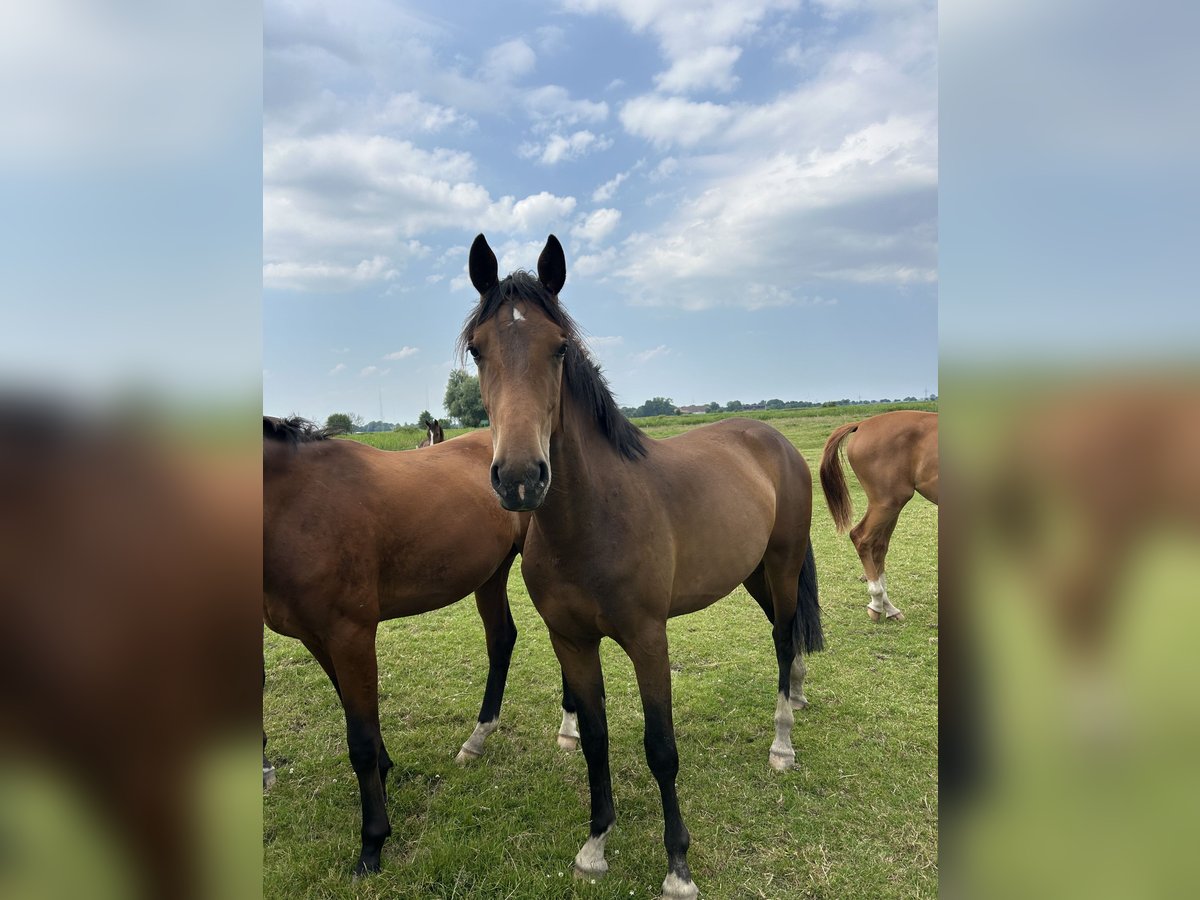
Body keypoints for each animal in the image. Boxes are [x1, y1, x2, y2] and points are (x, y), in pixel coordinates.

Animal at [261, 420, 576, 878]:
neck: (296, 505)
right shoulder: (317, 639)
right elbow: (363, 722)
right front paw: (384, 778)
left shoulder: (350, 635)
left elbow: (360, 740)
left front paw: (372, 843)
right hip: (491, 573)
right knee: (502, 640)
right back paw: (477, 739)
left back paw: (569, 729)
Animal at [460, 234, 825, 900]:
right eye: (478, 349)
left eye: (559, 347)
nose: (521, 478)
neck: (593, 520)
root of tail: (774, 438)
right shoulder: (572, 641)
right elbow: (595, 740)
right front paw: (595, 845)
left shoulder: (648, 640)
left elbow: (661, 748)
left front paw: (677, 866)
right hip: (752, 574)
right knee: (781, 637)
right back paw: (798, 695)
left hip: (783, 568)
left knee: (786, 638)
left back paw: (782, 743)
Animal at [820, 412, 940, 624]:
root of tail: (862, 424)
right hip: (887, 503)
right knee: (861, 538)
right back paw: (877, 601)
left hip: (890, 507)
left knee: (878, 547)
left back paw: (887, 607)